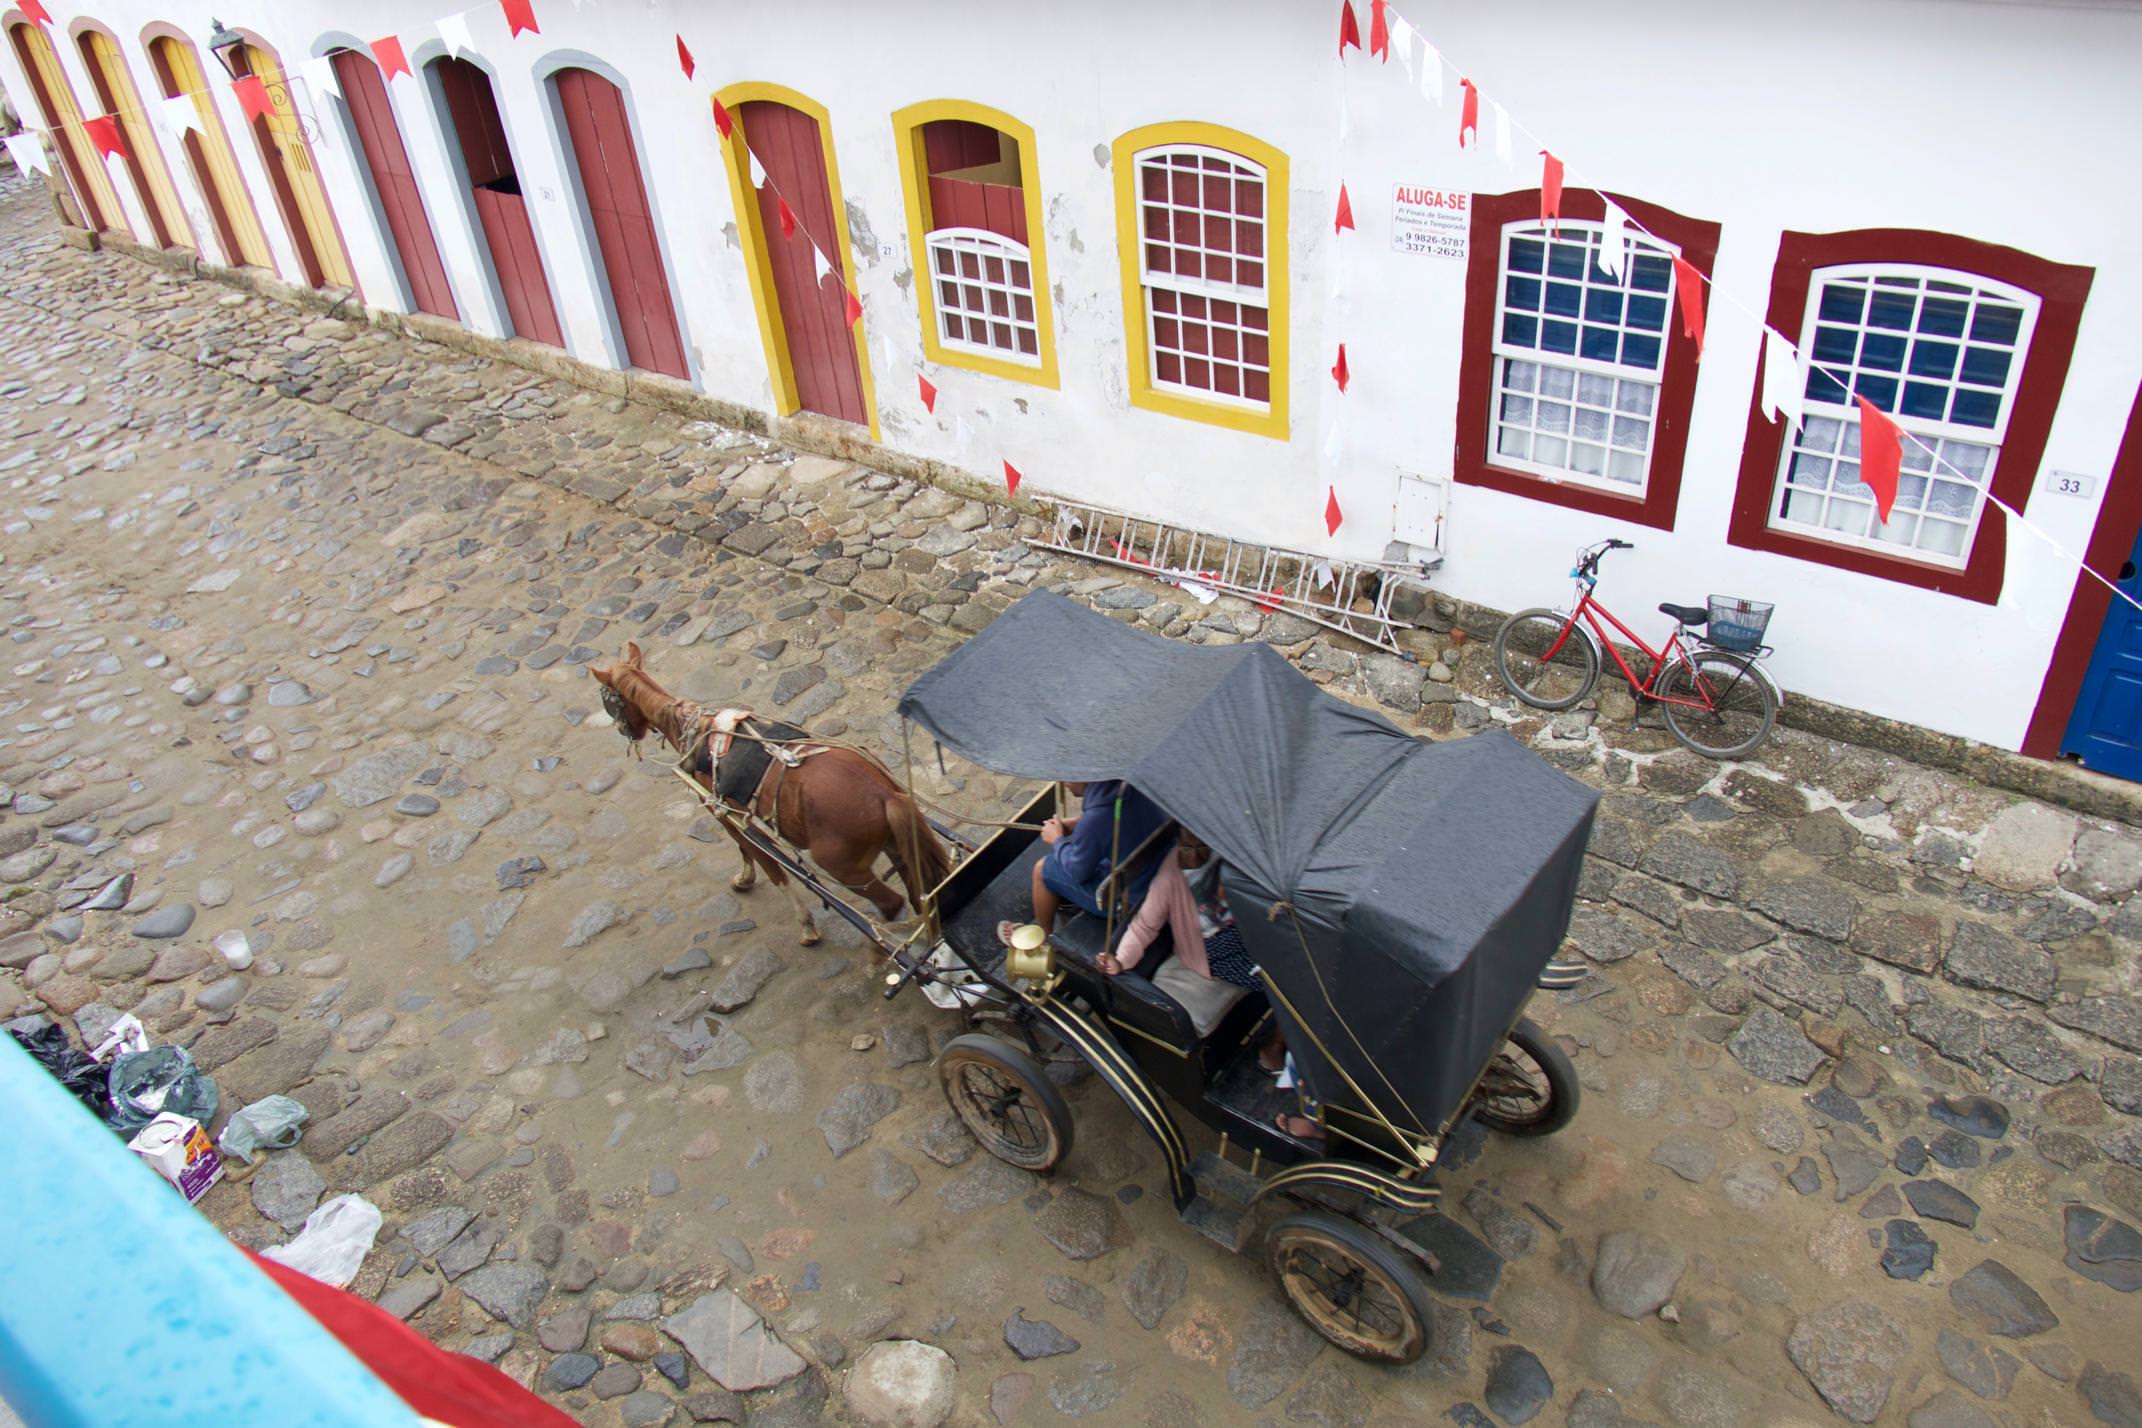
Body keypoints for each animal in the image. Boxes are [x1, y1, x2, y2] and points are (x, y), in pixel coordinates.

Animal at [591, 642, 951, 942]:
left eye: (607, 698)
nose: (624, 731)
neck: (692, 728)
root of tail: (884, 794)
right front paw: (746, 879)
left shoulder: (726, 815)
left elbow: (766, 864)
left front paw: (802, 923)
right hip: (899, 846)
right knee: (921, 895)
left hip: (845, 868)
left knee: (892, 904)